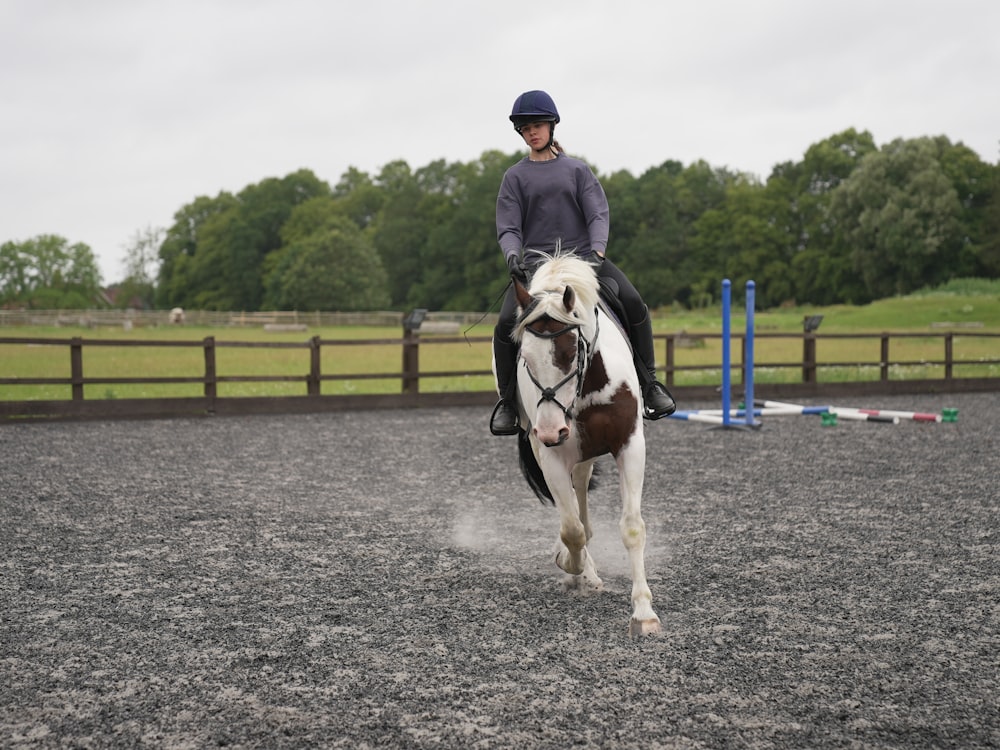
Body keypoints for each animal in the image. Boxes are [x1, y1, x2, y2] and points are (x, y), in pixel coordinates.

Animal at [496, 256, 660, 636]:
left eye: (571, 352)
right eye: (524, 357)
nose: (550, 429)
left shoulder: (630, 444)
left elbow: (632, 527)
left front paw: (644, 613)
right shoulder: (552, 454)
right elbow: (572, 530)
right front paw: (572, 565)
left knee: (581, 488)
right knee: (572, 511)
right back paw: (583, 571)